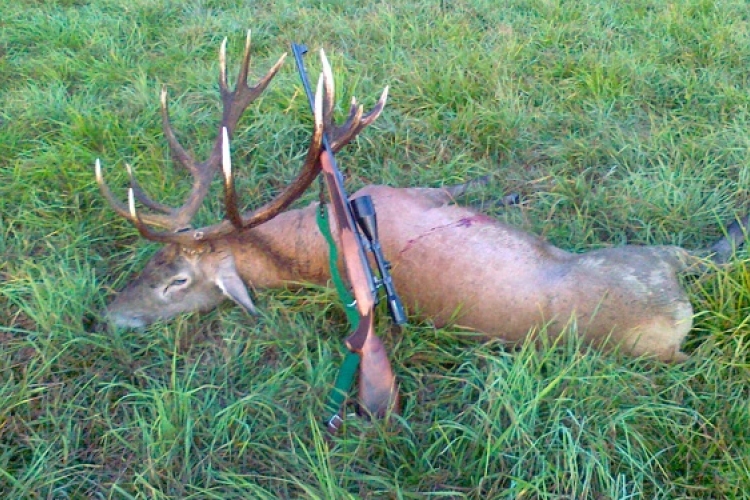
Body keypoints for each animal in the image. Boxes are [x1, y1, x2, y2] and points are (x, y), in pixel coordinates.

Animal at [97, 33, 748, 416]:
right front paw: (517, 186)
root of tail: (671, 330)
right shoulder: (409, 195)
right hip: (651, 257)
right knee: (710, 257)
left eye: (172, 278)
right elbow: (467, 186)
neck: (307, 234)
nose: (105, 316)